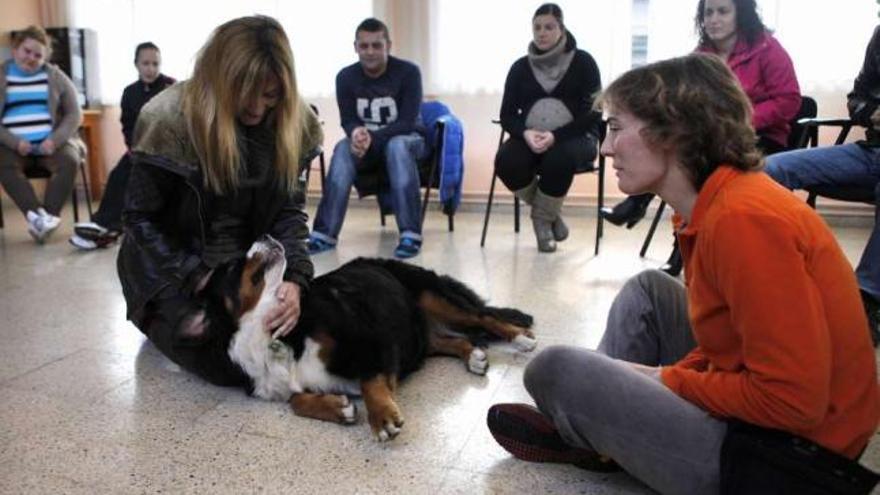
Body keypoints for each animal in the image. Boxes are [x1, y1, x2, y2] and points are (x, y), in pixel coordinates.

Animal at [199, 236, 536, 442]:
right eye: (233, 266)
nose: (267, 237)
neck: (272, 335)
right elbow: (296, 400)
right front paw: (337, 407)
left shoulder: (371, 337)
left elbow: (370, 381)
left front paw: (383, 417)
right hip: (419, 331)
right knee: (445, 341)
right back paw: (474, 356)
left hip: (434, 297)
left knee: (484, 317)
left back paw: (521, 338)